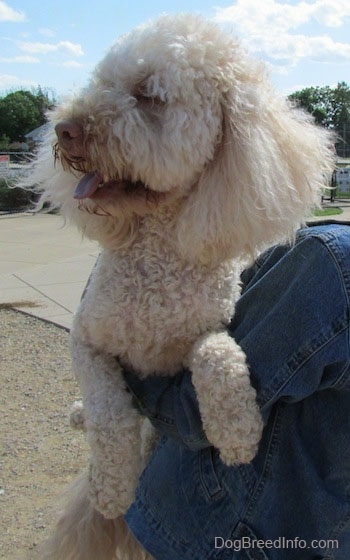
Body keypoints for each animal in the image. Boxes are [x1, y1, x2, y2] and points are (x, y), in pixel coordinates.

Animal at [25, 13, 334, 560]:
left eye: (149, 95)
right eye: (102, 82)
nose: (64, 128)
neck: (159, 253)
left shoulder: (205, 330)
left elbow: (218, 355)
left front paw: (238, 432)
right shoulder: (86, 340)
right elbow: (109, 412)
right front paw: (112, 487)